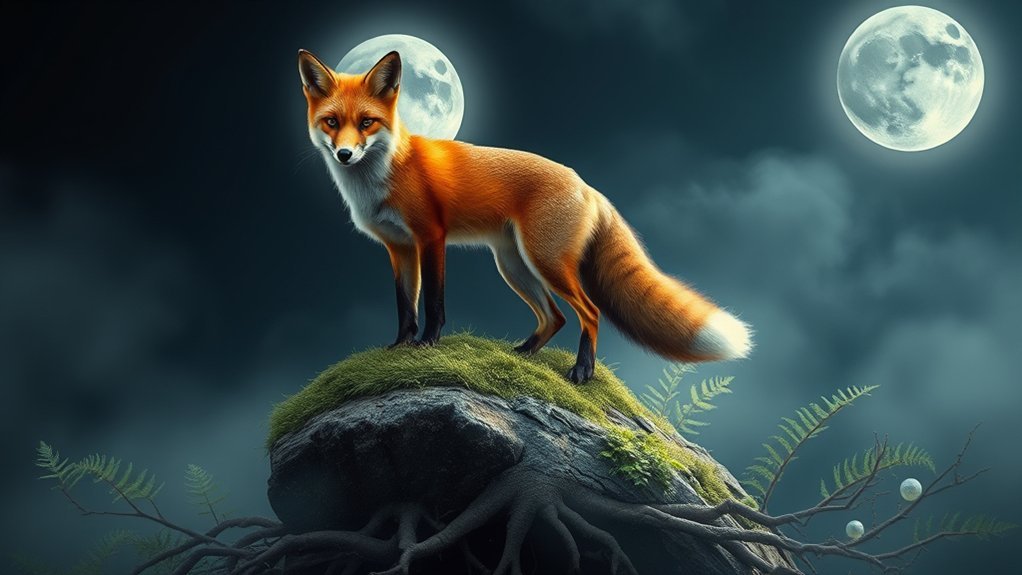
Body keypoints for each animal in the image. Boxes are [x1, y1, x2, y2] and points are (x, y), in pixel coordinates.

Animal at [298, 49, 752, 383]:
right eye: (332, 122)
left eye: (367, 123)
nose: (345, 154)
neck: (386, 172)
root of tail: (588, 186)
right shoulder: (399, 248)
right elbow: (404, 306)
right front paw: (399, 347)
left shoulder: (431, 237)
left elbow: (433, 302)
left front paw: (427, 344)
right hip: (514, 265)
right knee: (555, 318)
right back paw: (523, 355)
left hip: (544, 262)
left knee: (589, 312)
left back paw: (582, 371)